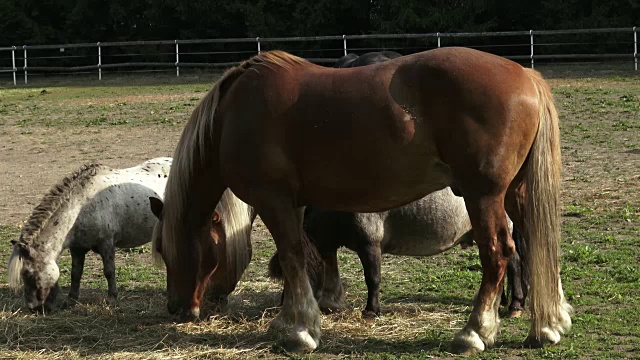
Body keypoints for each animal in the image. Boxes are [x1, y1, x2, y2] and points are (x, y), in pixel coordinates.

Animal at [8, 158, 172, 312]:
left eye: (29, 274)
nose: (33, 308)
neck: (82, 207)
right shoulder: (77, 249)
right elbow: (76, 274)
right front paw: (71, 300)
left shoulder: (106, 244)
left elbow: (109, 271)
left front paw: (112, 298)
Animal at [158, 47, 572, 354]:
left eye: (165, 249)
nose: (177, 308)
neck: (231, 115)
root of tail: (527, 76)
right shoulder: (294, 203)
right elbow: (304, 259)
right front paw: (292, 318)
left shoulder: (273, 199)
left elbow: (292, 256)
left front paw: (301, 332)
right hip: (515, 192)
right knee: (538, 241)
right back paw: (549, 325)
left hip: (483, 195)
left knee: (499, 252)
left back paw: (475, 332)